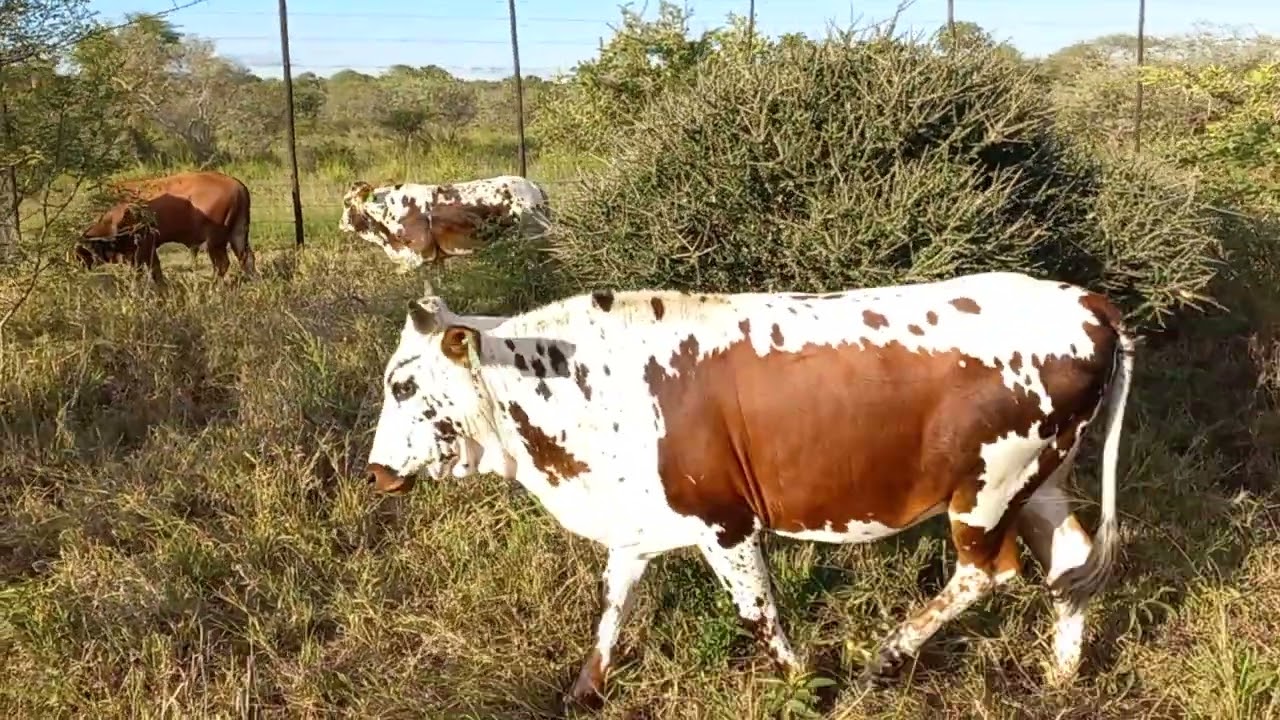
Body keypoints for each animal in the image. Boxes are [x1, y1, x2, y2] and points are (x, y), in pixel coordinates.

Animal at [74, 170, 256, 286]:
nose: (80, 261)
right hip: (237, 234)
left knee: (222, 264)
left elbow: (143, 270)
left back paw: (214, 287)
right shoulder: (148, 248)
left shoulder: (142, 249)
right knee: (246, 258)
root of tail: (238, 186)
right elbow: (155, 269)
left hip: (214, 242)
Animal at [337, 174, 551, 273]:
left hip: (533, 238)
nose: (341, 223)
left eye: (346, 202)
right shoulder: (435, 260)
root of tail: (531, 185)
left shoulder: (418, 256)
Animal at [363, 271, 1135, 709]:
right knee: (1070, 564)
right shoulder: (636, 527)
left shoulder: (725, 525)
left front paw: (805, 689)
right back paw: (1060, 676)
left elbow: (757, 614)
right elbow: (611, 613)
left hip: (987, 489)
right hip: (1040, 480)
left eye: (403, 386)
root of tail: (1092, 303)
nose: (373, 470)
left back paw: (883, 658)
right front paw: (583, 693)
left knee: (988, 573)